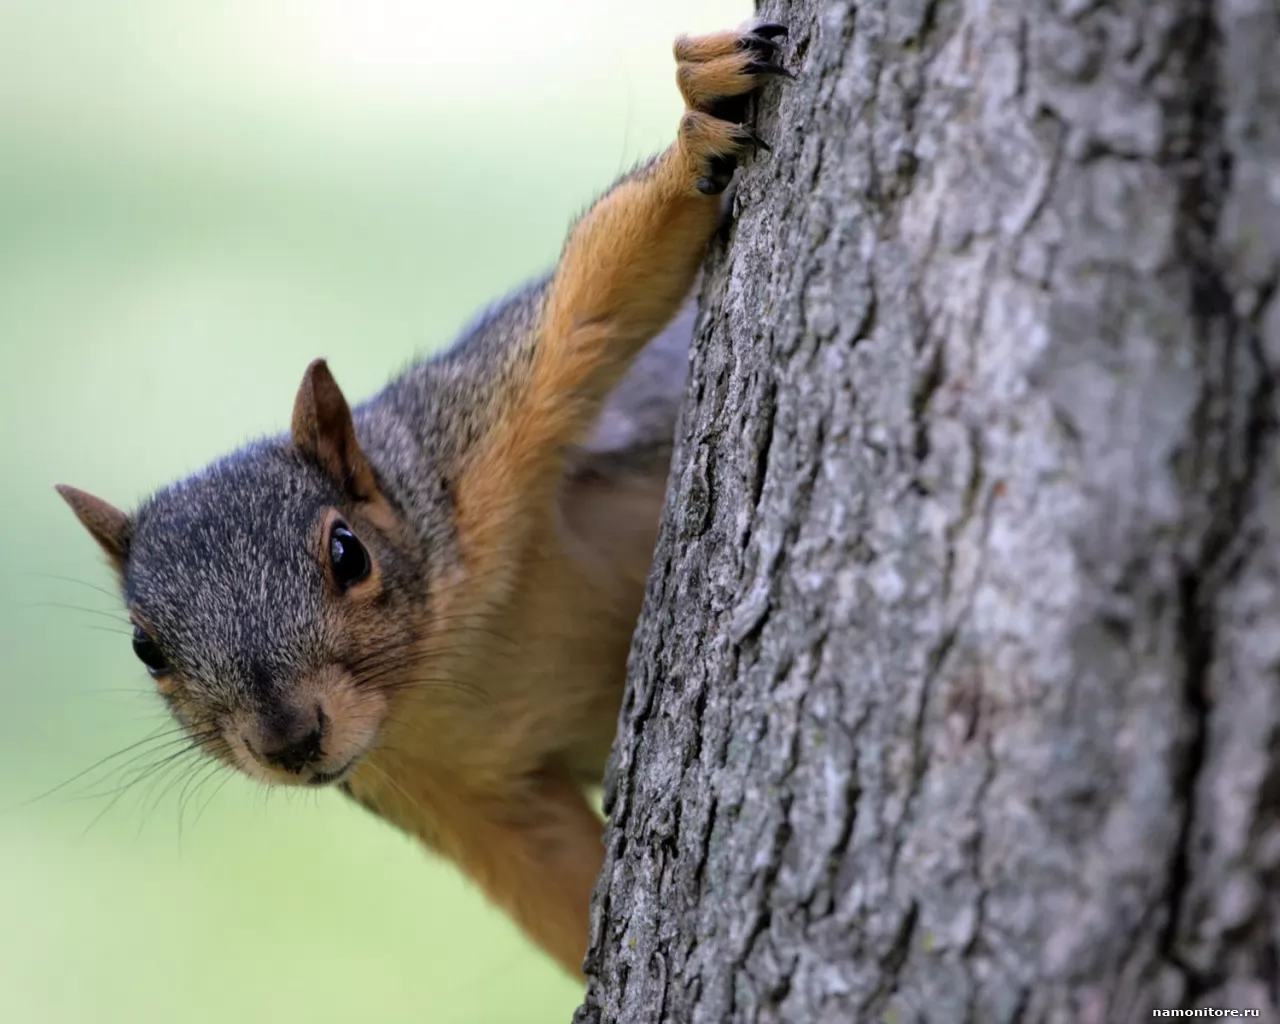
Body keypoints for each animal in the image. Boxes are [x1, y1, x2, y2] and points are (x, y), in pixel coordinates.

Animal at [57, 22, 788, 977]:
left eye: (348, 552)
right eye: (147, 648)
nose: (289, 743)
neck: (437, 674)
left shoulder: (476, 443)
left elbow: (593, 301)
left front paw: (698, 120)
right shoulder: (447, 792)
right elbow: (552, 886)